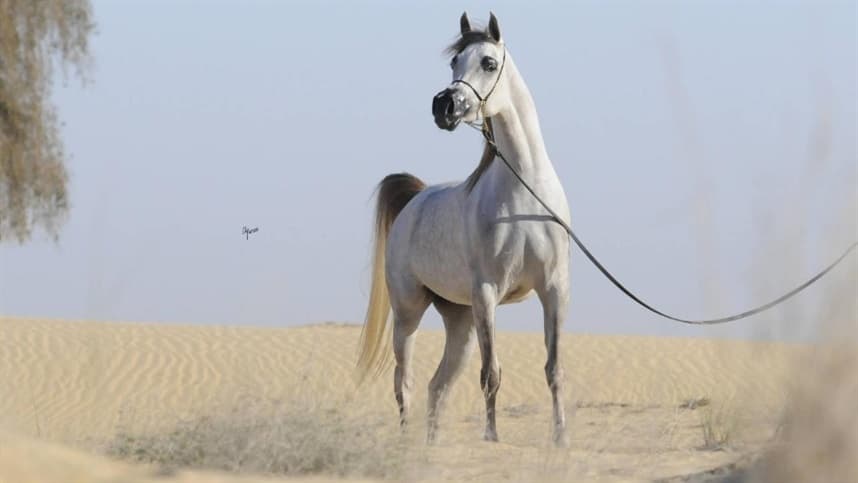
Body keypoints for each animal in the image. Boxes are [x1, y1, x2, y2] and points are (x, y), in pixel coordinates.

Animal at [357, 12, 572, 446]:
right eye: (454, 62)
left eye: (488, 62)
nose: (444, 106)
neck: (525, 195)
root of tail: (416, 198)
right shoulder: (487, 294)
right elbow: (491, 374)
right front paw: (491, 438)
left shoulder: (554, 289)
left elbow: (553, 368)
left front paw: (561, 439)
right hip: (409, 313)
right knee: (404, 382)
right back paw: (407, 442)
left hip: (459, 321)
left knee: (437, 385)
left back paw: (431, 445)